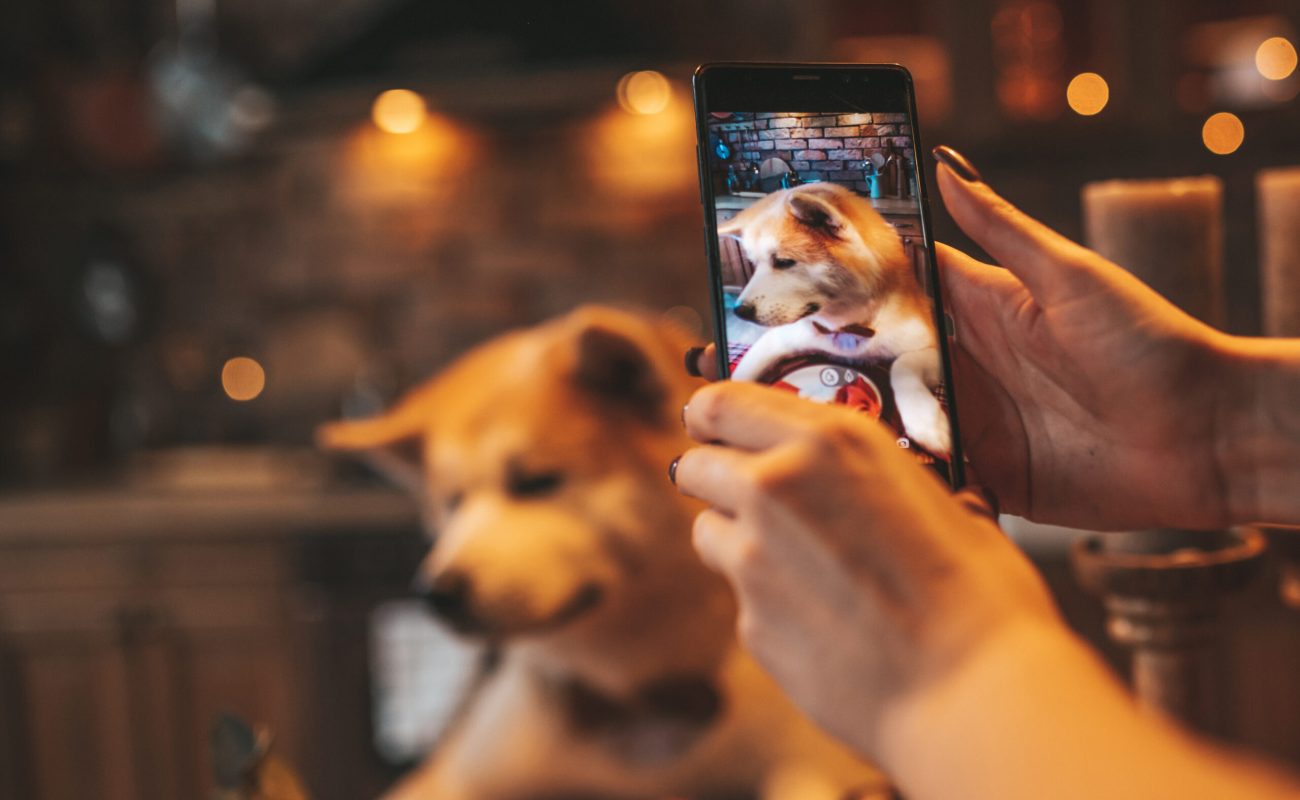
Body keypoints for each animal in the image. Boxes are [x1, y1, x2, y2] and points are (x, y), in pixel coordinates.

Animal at [319, 306, 889, 800]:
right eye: (452, 503)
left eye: (537, 482)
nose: (437, 594)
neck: (642, 700)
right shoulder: (452, 776)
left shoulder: (813, 765)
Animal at [722, 182, 946, 457]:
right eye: (753, 264)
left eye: (783, 262)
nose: (739, 311)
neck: (849, 326)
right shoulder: (780, 339)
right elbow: (741, 373)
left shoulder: (932, 346)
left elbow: (902, 366)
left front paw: (925, 420)